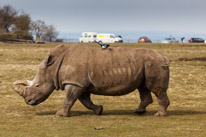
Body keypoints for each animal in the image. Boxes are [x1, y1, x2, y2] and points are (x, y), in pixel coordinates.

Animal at [13, 44, 170, 116]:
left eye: (37, 86)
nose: (28, 101)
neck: (53, 66)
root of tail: (164, 57)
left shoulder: (74, 83)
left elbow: (69, 99)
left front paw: (60, 115)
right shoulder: (80, 83)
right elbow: (85, 101)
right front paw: (99, 110)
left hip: (154, 64)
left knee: (155, 89)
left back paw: (159, 115)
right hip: (145, 66)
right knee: (143, 87)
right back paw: (138, 111)